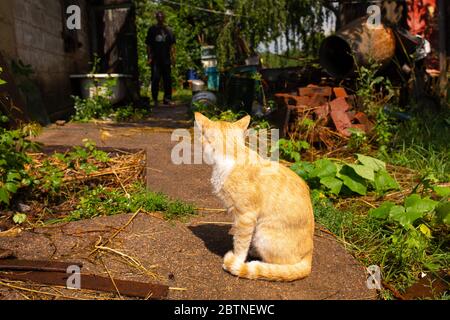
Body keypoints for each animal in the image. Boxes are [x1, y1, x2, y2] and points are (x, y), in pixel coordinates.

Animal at [195, 113, 314, 282]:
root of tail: (309, 256)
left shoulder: (246, 216)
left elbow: (240, 243)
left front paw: (237, 261)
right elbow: (237, 234)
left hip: (262, 234)